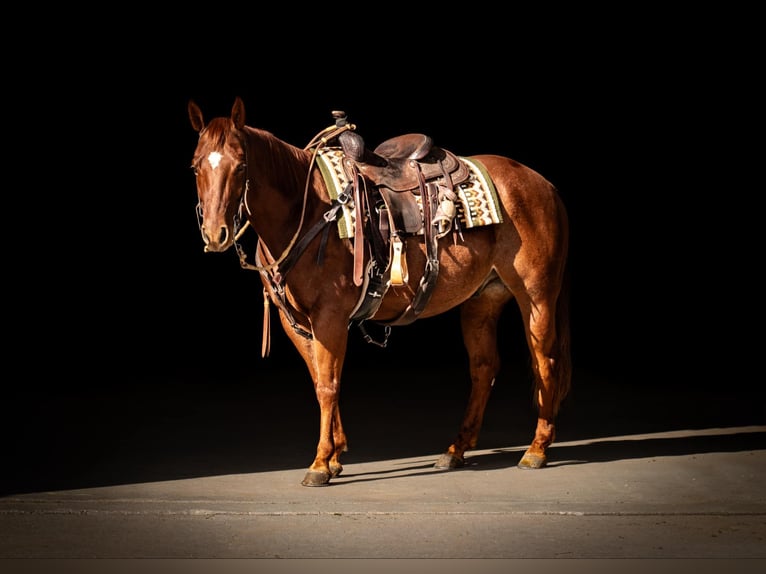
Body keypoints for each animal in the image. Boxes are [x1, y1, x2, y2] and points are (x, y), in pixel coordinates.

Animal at [186, 97, 568, 488]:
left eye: (240, 165)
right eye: (195, 165)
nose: (215, 234)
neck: (306, 212)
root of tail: (543, 184)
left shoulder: (330, 318)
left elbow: (328, 384)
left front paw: (320, 463)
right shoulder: (296, 323)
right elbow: (320, 380)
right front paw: (335, 456)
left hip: (536, 295)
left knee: (545, 361)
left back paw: (536, 450)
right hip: (481, 301)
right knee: (484, 368)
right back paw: (456, 450)